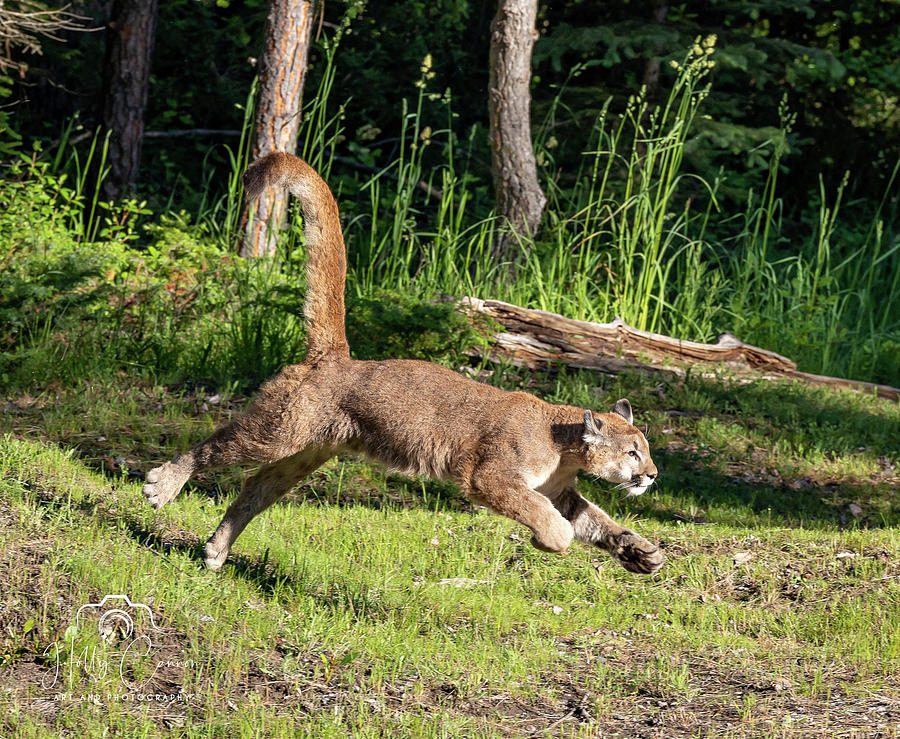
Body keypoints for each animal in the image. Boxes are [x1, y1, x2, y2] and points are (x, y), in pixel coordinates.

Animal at [141, 153, 660, 576]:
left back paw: (216, 551)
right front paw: (553, 539)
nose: (653, 474)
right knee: (216, 446)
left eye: (646, 450)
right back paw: (162, 486)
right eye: (633, 453)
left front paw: (639, 551)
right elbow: (543, 515)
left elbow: (597, 519)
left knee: (256, 486)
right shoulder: (490, 476)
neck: (564, 444)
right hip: (280, 431)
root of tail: (334, 356)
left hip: (308, 451)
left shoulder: (561, 490)